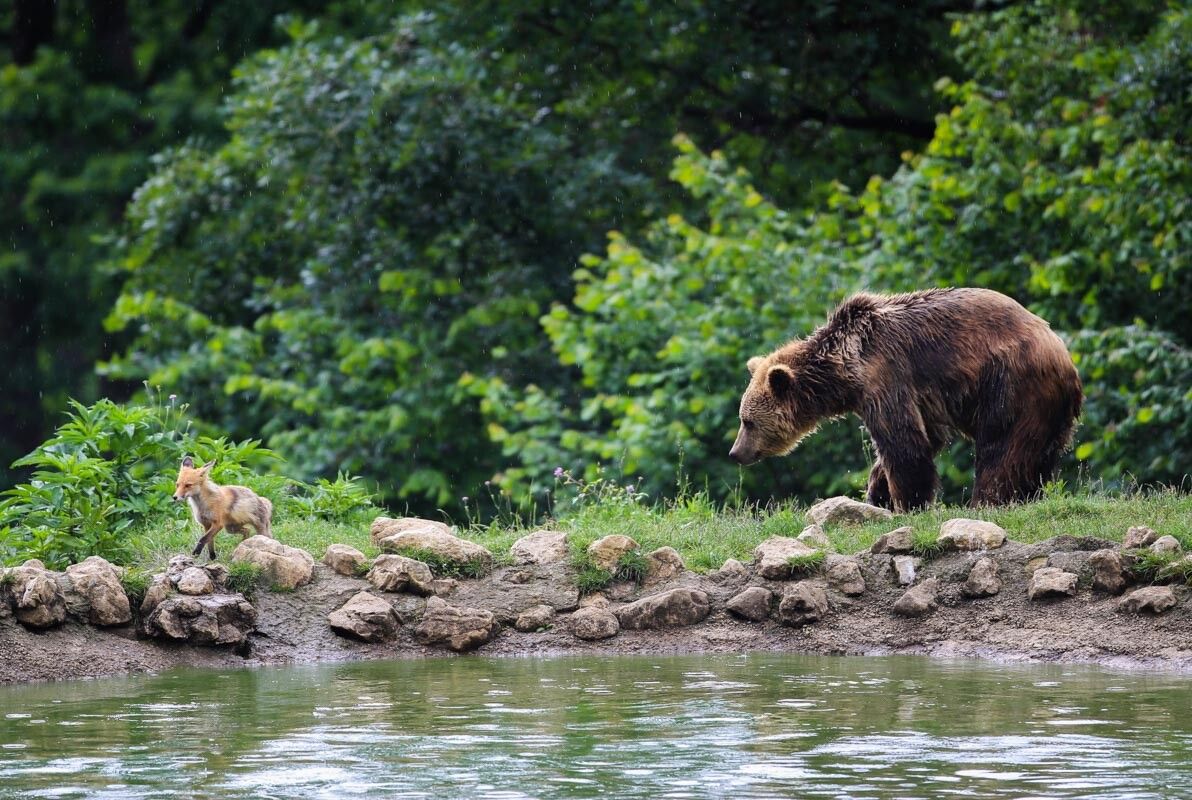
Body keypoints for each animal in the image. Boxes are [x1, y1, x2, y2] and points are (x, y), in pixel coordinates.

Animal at [729, 288, 1083, 510]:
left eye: (748, 421)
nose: (735, 453)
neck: (845, 370)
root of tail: (1063, 354)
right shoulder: (920, 397)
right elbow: (925, 436)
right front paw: (877, 491)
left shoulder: (887, 375)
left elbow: (902, 442)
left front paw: (907, 501)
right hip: (1054, 413)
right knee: (1039, 454)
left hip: (1011, 384)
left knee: (1002, 448)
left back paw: (988, 499)